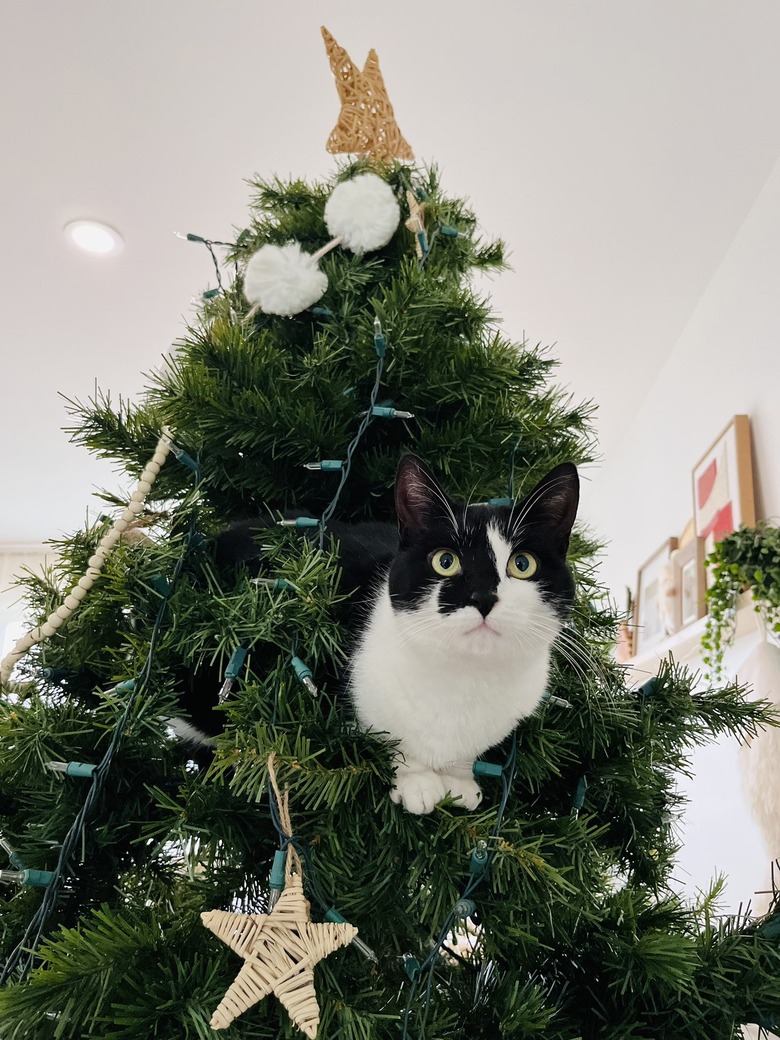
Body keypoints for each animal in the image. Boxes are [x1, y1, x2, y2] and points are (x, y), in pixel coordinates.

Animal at [176, 453, 582, 811]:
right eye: (445, 561)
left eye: (522, 564)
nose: (483, 597)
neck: (466, 680)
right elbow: (386, 736)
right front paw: (417, 782)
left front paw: (461, 781)